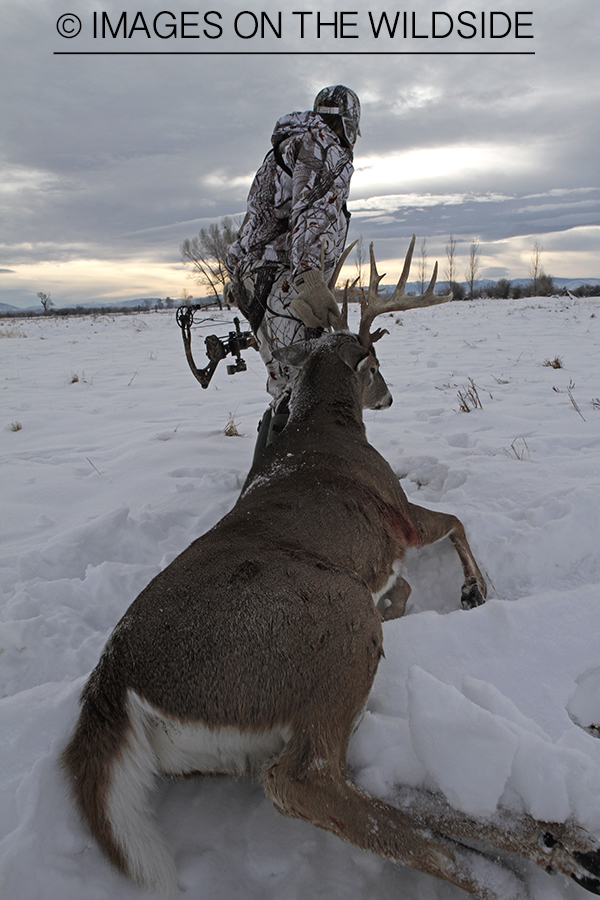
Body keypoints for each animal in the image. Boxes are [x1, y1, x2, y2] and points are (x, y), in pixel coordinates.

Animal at [61, 237, 600, 899]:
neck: (326, 425)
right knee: (307, 781)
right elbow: (454, 521)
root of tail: (112, 684)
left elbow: (409, 583)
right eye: (373, 361)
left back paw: (559, 846)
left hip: (234, 735)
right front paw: (474, 591)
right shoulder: (396, 514)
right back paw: (506, 873)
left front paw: (412, 605)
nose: (390, 395)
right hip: (333, 627)